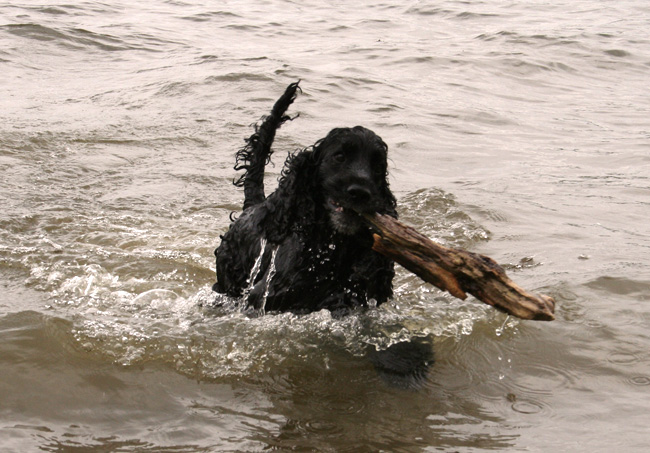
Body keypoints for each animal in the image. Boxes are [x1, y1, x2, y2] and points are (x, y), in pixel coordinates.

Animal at [213, 81, 394, 312]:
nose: (361, 192)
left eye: (378, 166)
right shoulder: (266, 297)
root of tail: (254, 205)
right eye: (339, 156)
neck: (330, 249)